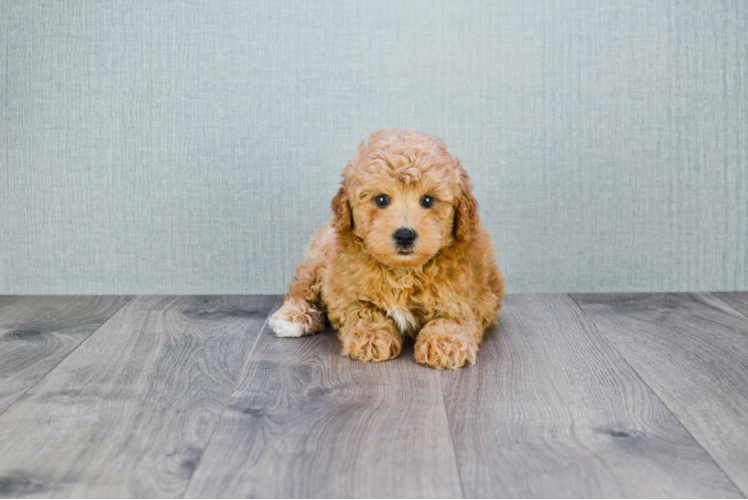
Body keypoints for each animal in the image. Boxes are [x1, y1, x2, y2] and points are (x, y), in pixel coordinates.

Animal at [268, 130, 502, 372]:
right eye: (381, 199)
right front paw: (370, 337)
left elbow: (454, 317)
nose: (405, 235)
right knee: (302, 288)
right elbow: (363, 311)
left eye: (428, 200)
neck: (403, 271)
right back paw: (293, 318)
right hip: (320, 257)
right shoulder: (343, 289)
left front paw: (445, 342)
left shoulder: (473, 296)